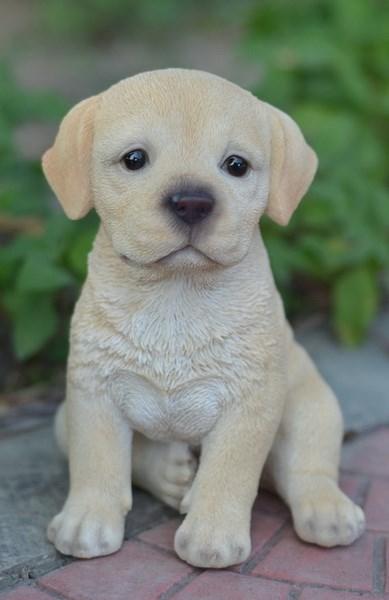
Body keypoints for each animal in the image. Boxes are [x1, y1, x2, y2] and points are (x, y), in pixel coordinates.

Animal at [42, 69, 364, 568]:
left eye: (236, 165)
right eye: (134, 159)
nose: (192, 202)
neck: (176, 294)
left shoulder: (250, 402)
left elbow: (229, 472)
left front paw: (212, 536)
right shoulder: (92, 390)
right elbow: (97, 462)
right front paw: (87, 522)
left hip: (313, 405)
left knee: (304, 468)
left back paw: (325, 509)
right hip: (61, 418)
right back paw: (171, 473)